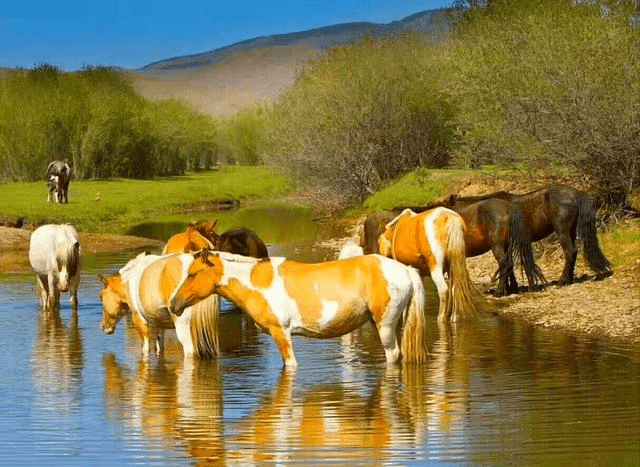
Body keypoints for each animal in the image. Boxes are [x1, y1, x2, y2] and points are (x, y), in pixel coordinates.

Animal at [170, 250, 428, 367]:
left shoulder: (281, 334)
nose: (174, 304)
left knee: (393, 355)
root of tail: (405, 271)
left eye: (192, 274)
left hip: (386, 325)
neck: (257, 283)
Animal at [447, 184, 611, 285]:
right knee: (573, 252)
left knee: (569, 252)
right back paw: (569, 279)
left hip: (562, 231)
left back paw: (562, 281)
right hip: (570, 231)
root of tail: (575, 193)